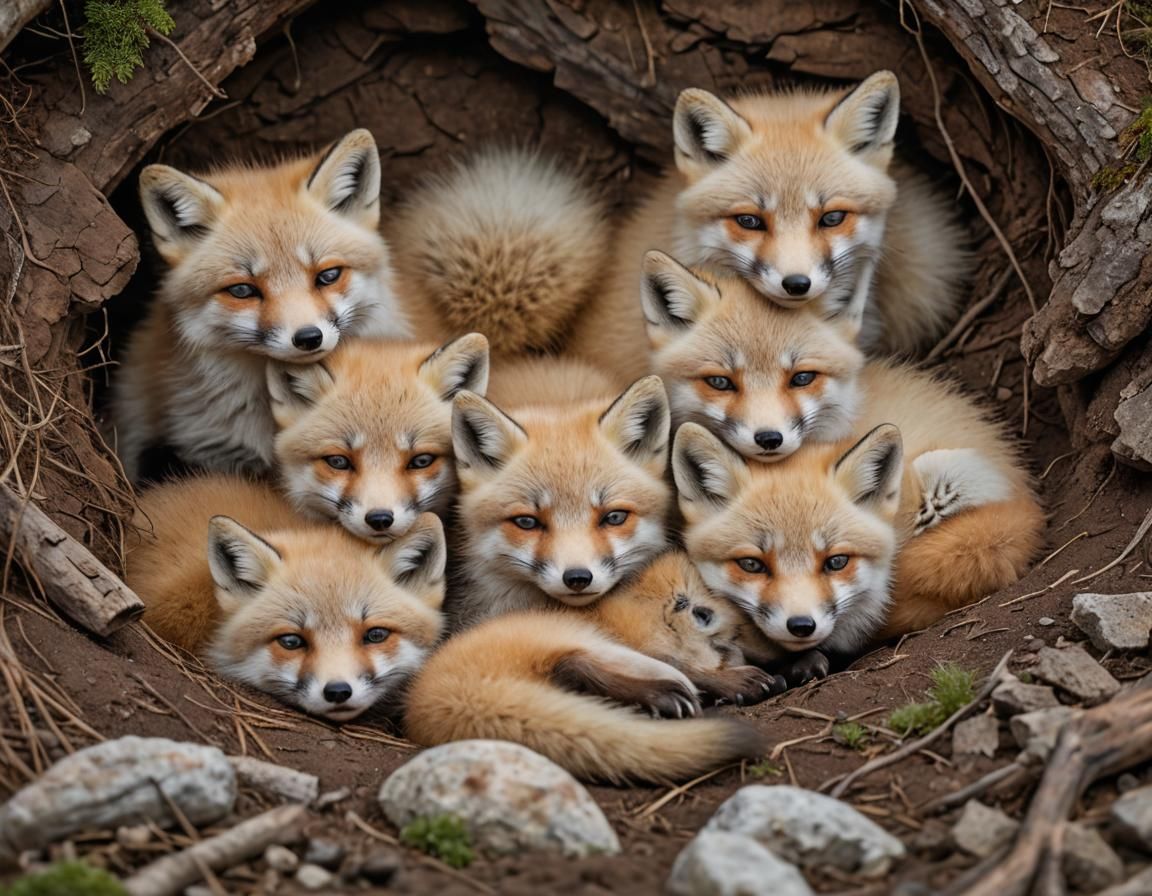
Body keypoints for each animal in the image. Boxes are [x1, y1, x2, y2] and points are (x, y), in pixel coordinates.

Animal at [405, 551, 783, 784]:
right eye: (741, 630)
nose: (788, 642)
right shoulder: (636, 644)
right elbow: (686, 666)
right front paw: (742, 682)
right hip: (587, 643)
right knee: (576, 665)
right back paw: (665, 697)